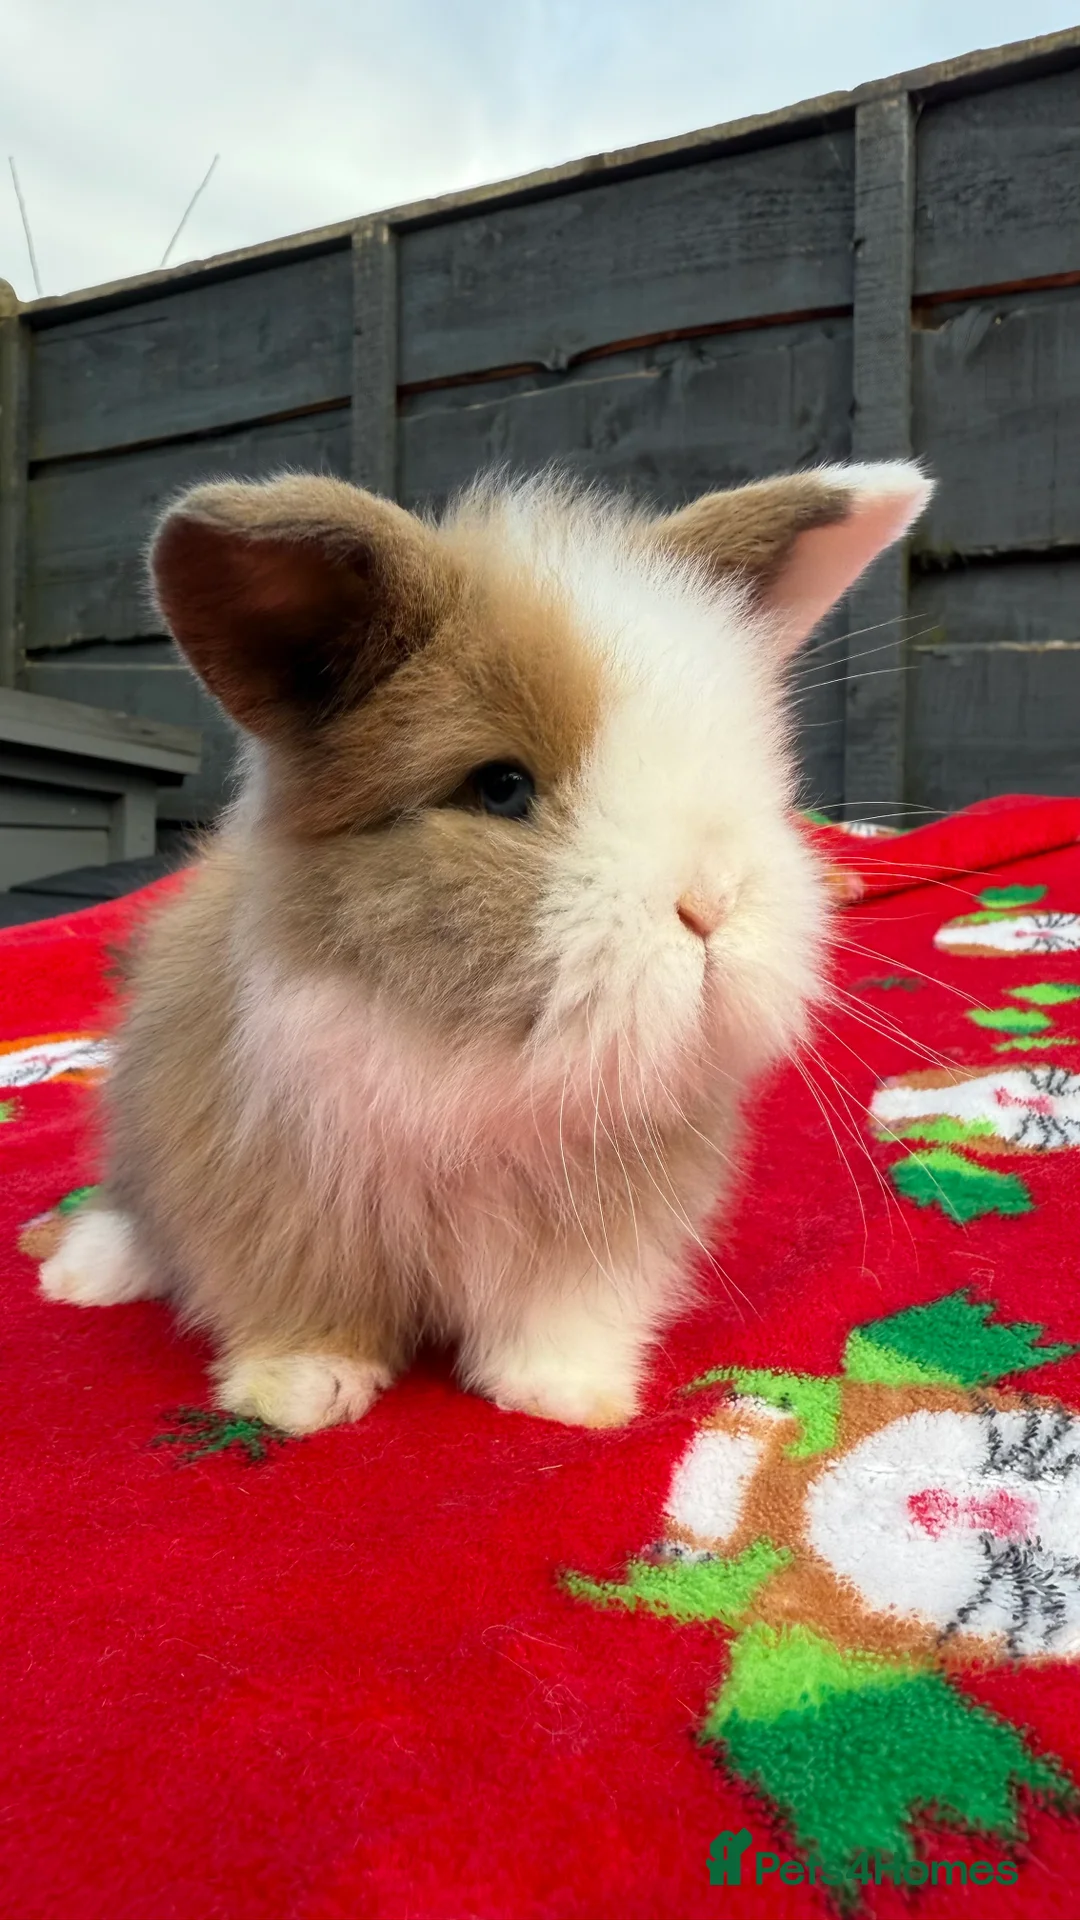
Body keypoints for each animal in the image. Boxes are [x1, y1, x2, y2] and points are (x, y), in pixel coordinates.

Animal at [39, 461, 931, 1434]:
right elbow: (300, 1292)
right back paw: (80, 1273)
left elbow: (567, 1306)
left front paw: (568, 1397)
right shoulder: (271, 1187)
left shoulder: (606, 1222)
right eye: (502, 788)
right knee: (132, 1208)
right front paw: (303, 1391)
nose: (709, 904)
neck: (483, 1069)